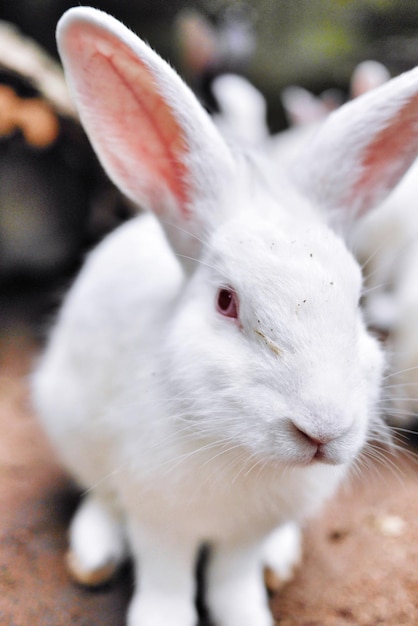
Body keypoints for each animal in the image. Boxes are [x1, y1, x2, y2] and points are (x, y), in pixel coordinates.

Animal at [32, 7, 418, 620]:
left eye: (357, 297)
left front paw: (247, 615)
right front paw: (160, 618)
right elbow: (166, 577)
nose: (324, 430)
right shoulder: (158, 520)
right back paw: (94, 553)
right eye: (225, 301)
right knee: (98, 495)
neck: (243, 452)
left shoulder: (245, 537)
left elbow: (233, 581)